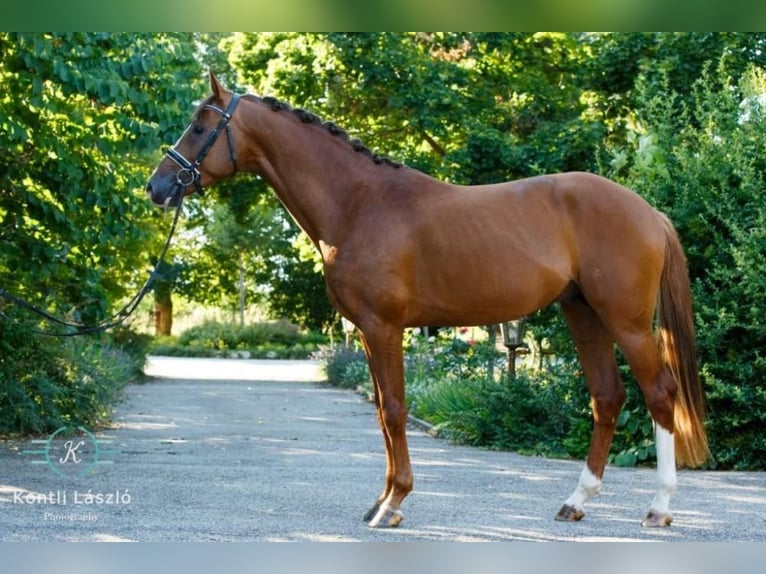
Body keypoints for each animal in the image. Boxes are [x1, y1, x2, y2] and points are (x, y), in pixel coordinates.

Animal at [147, 72, 712, 532]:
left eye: (200, 125)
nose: (158, 186)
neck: (359, 204)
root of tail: (648, 212)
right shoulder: (367, 333)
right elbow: (381, 413)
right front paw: (381, 498)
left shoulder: (383, 327)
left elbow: (396, 410)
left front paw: (393, 504)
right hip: (583, 313)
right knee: (607, 397)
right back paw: (576, 501)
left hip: (627, 321)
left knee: (660, 394)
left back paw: (659, 508)